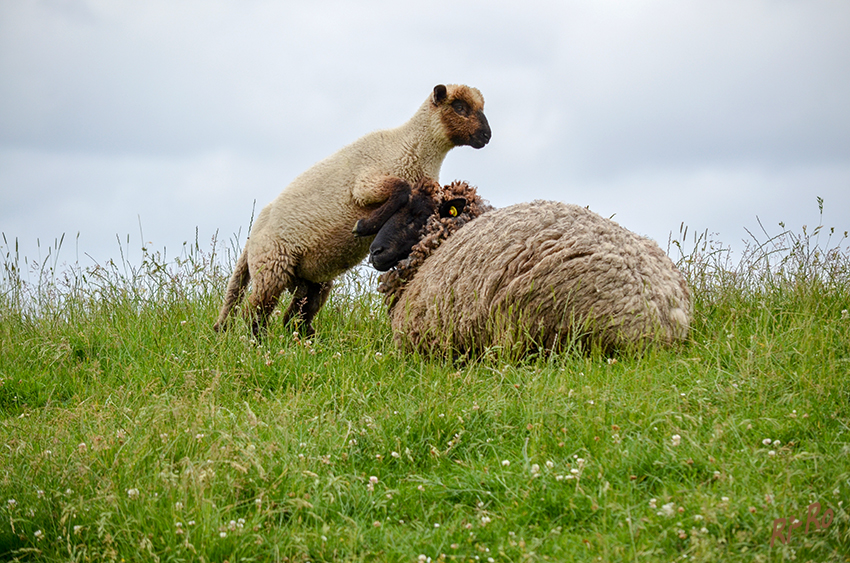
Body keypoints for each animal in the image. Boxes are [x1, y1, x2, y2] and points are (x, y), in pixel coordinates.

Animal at [214, 83, 490, 334]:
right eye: (459, 107)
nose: (487, 135)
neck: (408, 146)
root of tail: (252, 238)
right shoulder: (366, 183)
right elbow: (399, 189)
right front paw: (363, 226)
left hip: (309, 280)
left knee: (294, 317)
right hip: (271, 267)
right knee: (254, 313)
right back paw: (255, 344)